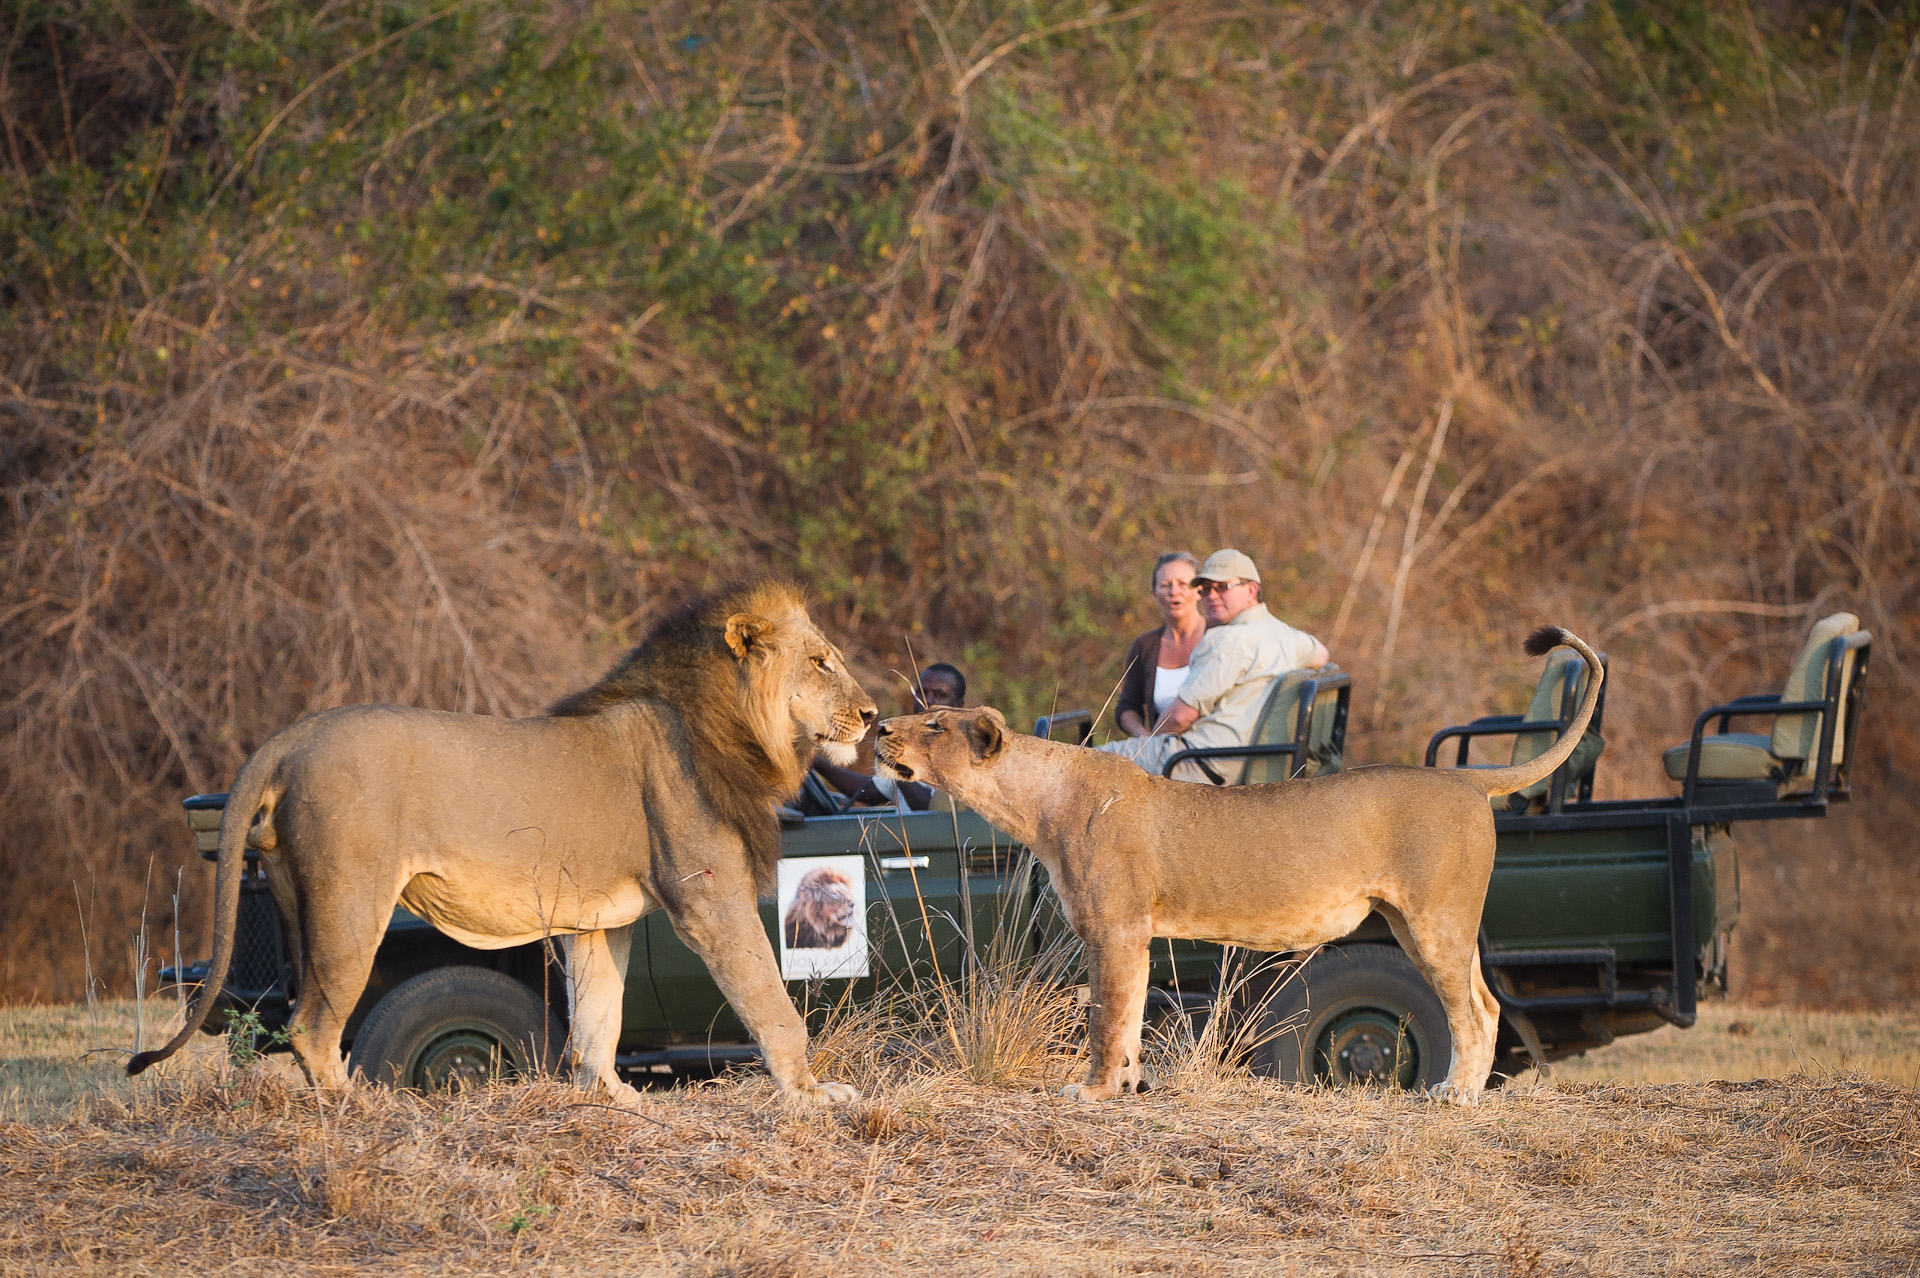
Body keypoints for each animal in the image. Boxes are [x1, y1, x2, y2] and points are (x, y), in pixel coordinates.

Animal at [129, 580, 875, 1108]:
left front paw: (615, 1099)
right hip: (352, 903)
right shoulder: (708, 898)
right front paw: (813, 1095)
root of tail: (291, 736)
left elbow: (599, 1015)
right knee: (312, 1026)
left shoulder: (601, 920)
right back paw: (361, 1112)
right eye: (820, 662)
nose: (871, 716)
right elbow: (771, 1002)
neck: (731, 728)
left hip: (295, 900)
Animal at [874, 626, 1602, 1107]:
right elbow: (1131, 1015)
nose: (879, 728)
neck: (1037, 802)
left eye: (935, 723)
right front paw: (1131, 1087)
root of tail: (1469, 779)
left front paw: (1094, 1092)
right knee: (1489, 1001)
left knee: (1472, 1010)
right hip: (1424, 921)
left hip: (1435, 922)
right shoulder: (1130, 935)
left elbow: (1107, 1018)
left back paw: (1455, 1096)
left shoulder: (1116, 928)